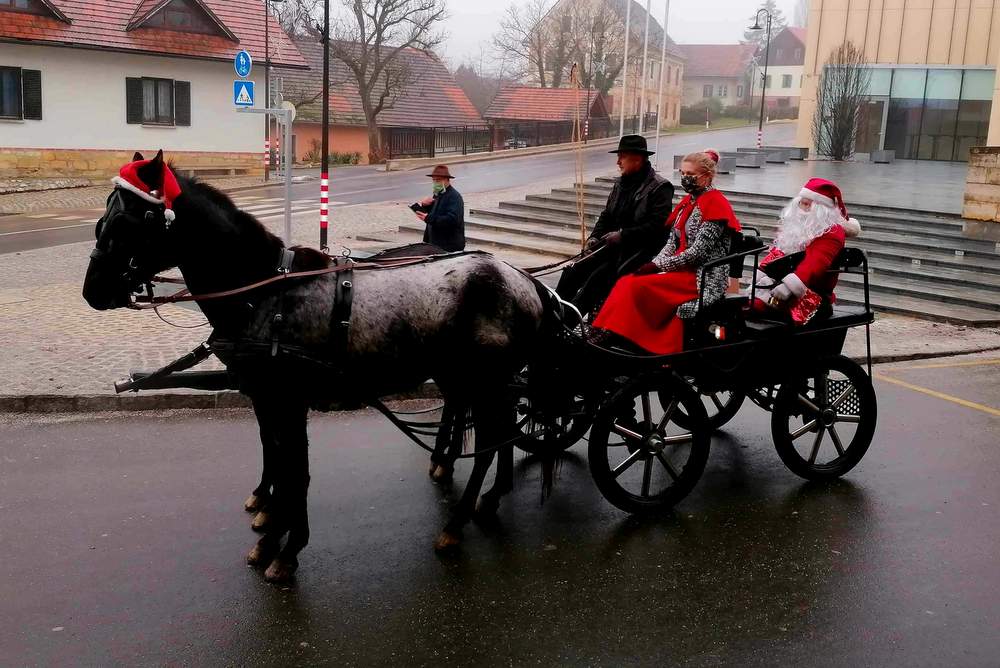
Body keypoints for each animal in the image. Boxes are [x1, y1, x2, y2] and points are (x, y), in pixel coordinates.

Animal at [84, 150, 556, 580]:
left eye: (127, 223)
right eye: (101, 221)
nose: (93, 291)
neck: (264, 294)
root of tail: (524, 279)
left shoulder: (288, 401)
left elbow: (295, 471)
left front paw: (285, 547)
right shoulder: (266, 398)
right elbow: (278, 458)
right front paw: (270, 528)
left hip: (486, 381)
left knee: (491, 442)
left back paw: (456, 524)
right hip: (468, 379)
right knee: (494, 431)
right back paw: (484, 495)